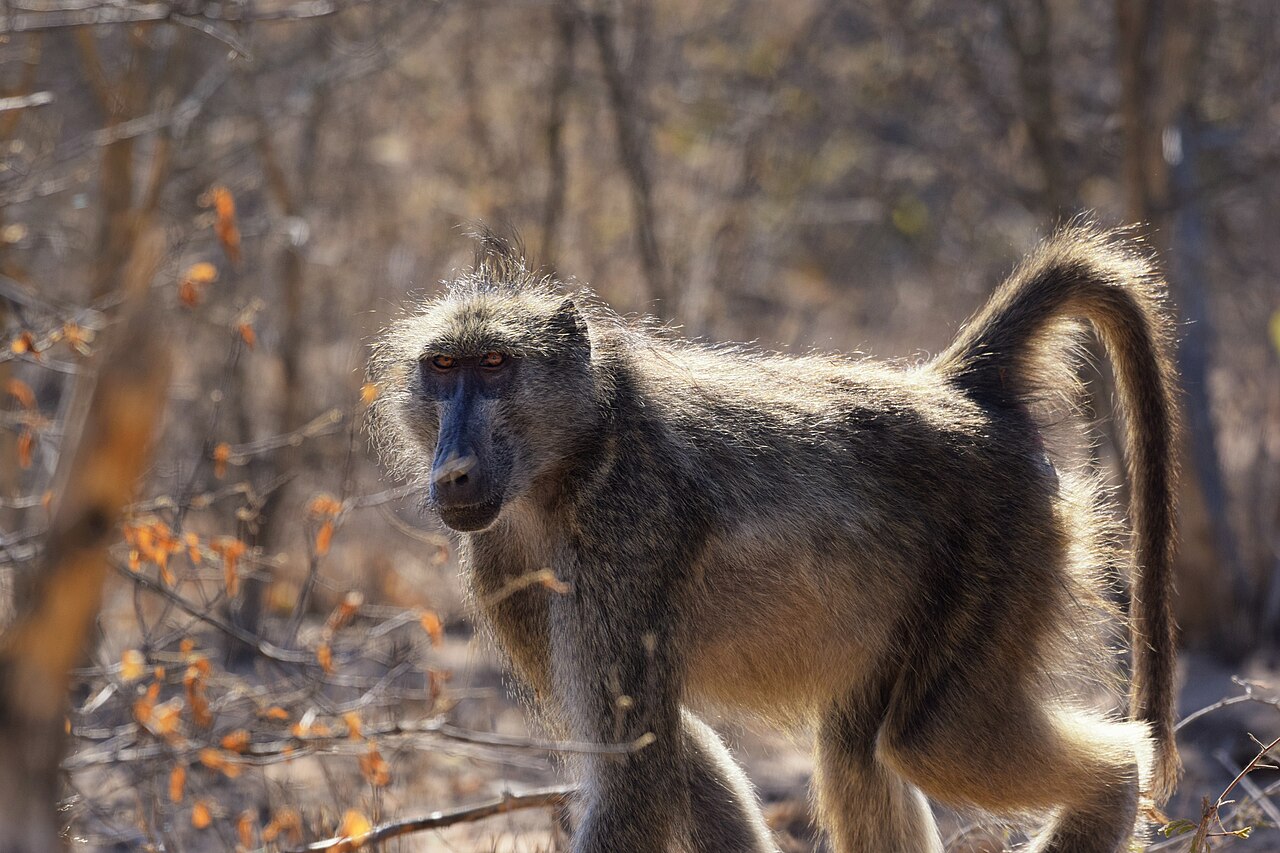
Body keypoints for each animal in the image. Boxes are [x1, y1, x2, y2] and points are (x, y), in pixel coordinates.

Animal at [368, 224, 1180, 853]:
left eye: (494, 367)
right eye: (442, 368)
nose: (454, 470)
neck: (575, 457)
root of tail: (959, 389)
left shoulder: (628, 534)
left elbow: (637, 774)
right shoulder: (505, 559)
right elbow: (678, 752)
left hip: (1003, 546)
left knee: (931, 738)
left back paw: (1114, 784)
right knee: (859, 748)